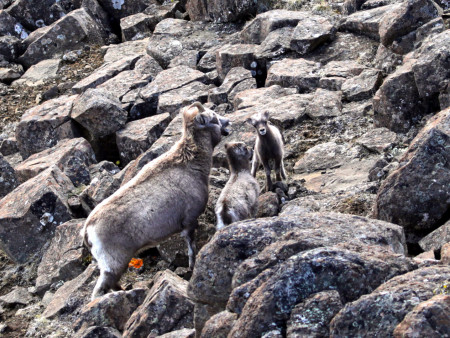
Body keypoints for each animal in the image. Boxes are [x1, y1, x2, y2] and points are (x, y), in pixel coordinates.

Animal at [79, 101, 232, 300]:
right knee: (100, 291)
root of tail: (87, 230)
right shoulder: (189, 222)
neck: (189, 165)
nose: (228, 122)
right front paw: (192, 266)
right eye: (213, 118)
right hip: (114, 263)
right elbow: (191, 247)